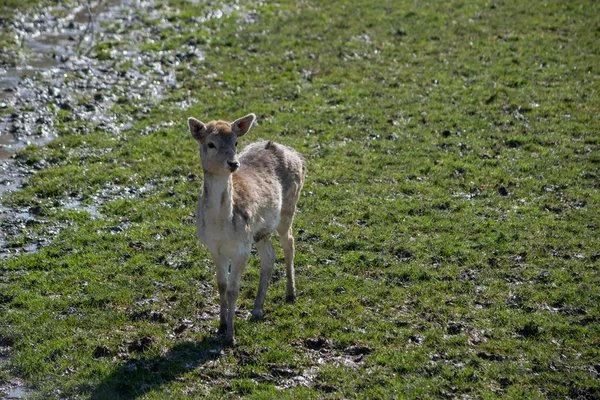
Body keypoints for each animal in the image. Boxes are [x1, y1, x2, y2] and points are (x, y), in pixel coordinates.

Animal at [188, 113, 308, 346]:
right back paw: (257, 309)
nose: (233, 163)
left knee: (289, 243)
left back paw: (290, 294)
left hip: (288, 208)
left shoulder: (242, 246)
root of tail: (296, 155)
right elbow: (221, 284)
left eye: (235, 142)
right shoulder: (214, 248)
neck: (221, 226)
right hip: (260, 231)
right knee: (269, 256)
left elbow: (233, 290)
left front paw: (230, 336)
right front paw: (221, 325)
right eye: (211, 144)